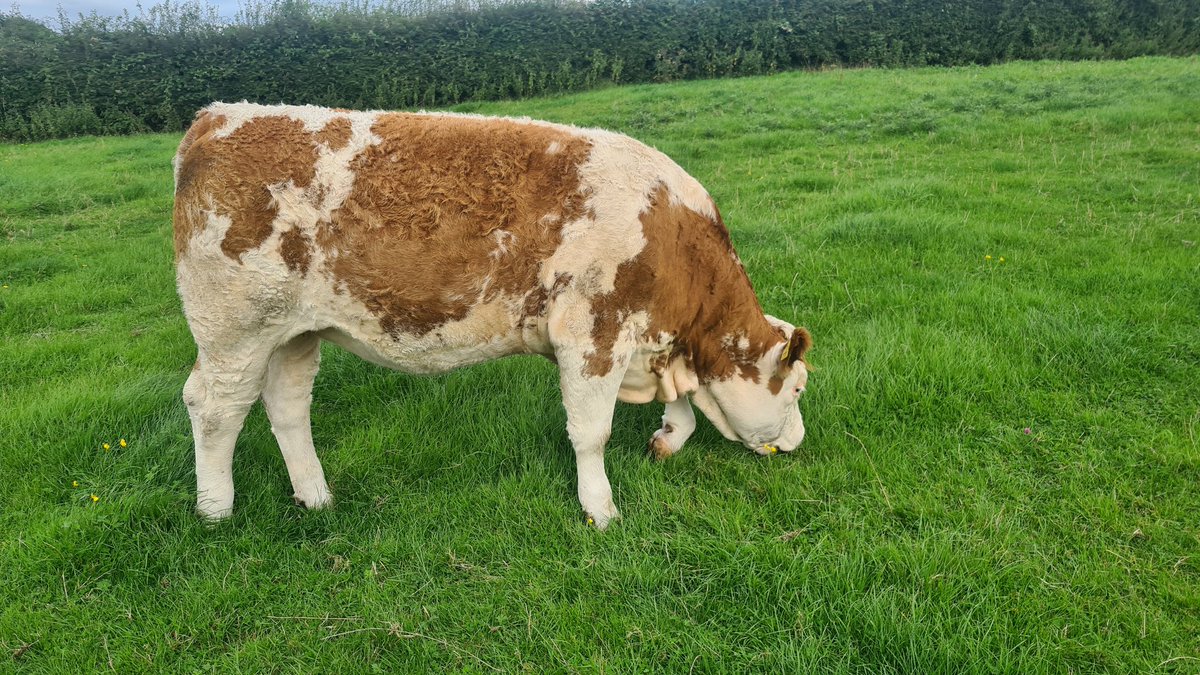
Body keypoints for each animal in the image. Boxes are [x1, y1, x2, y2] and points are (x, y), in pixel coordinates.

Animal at [173, 102, 812, 529]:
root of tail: (218, 115)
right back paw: (214, 510)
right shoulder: (593, 333)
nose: (800, 442)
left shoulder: (654, 342)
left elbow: (682, 407)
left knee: (287, 407)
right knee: (213, 408)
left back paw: (316, 496)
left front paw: (668, 438)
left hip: (293, 333)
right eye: (799, 388)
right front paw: (601, 510)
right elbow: (592, 433)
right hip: (234, 331)